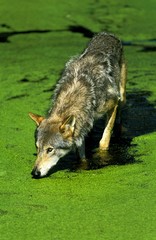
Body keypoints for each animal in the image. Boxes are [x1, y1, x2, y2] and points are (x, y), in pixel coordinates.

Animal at [29, 31, 127, 177]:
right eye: (37, 147)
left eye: (50, 149)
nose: (35, 173)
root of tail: (107, 34)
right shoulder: (80, 127)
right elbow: (81, 154)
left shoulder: (112, 103)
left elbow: (104, 140)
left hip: (121, 96)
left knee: (120, 115)